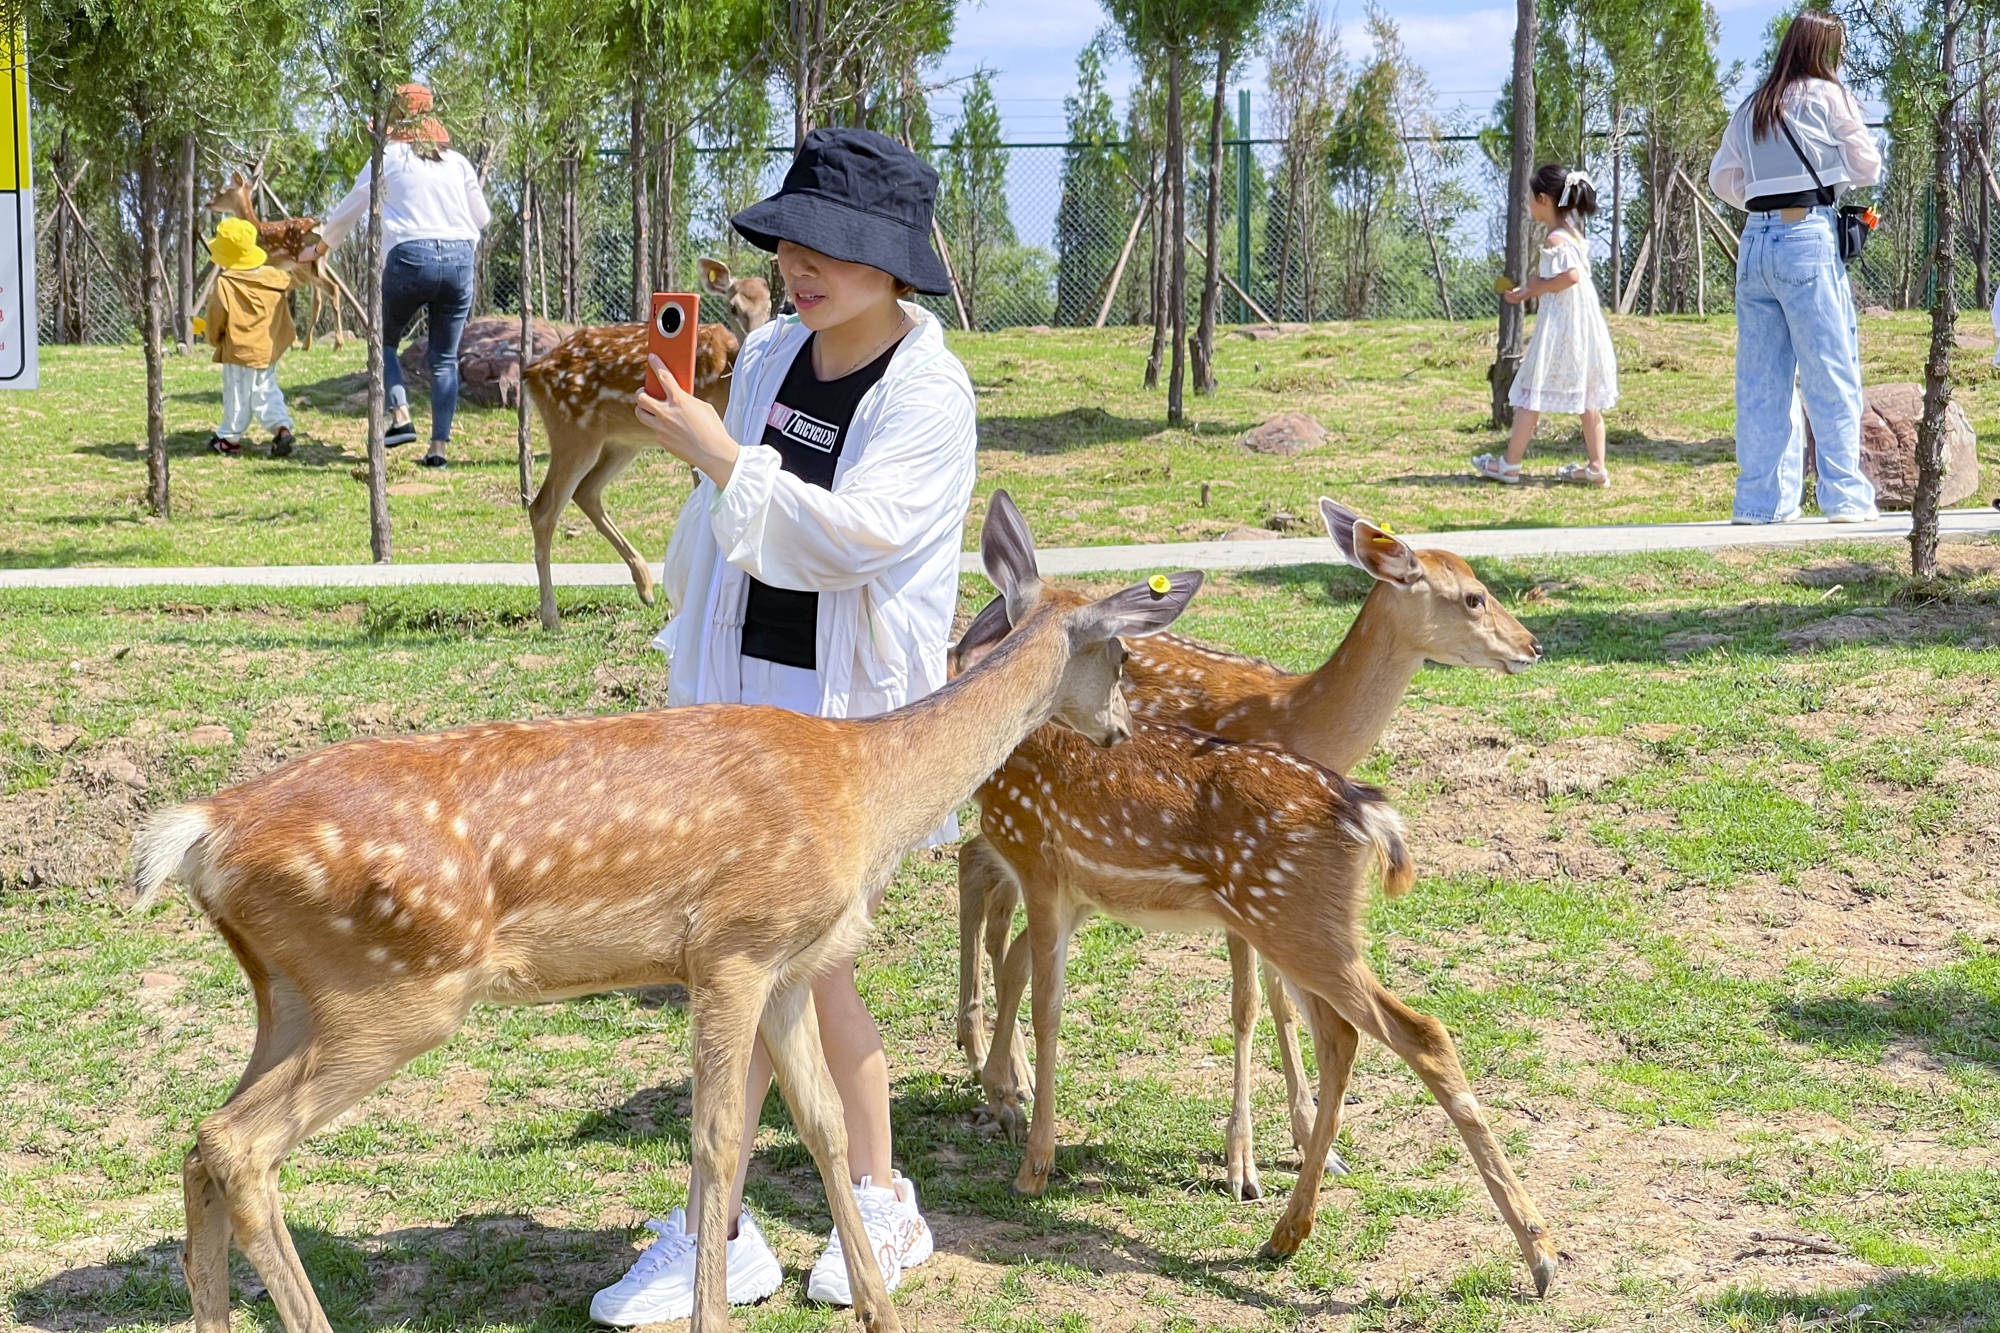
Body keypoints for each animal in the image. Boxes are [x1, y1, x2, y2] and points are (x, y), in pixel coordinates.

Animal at [133, 492, 1208, 1328]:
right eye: (1122, 657)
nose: (1120, 729)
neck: (861, 791)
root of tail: (202, 832)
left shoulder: (788, 965)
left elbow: (822, 1121)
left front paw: (881, 1309)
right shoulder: (731, 946)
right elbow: (719, 1138)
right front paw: (714, 1314)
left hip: (288, 993)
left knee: (199, 1142)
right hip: (391, 988)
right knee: (239, 1144)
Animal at [203, 169, 348, 350]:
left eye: (222, 192)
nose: (208, 204)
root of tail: (318, 226)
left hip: (304, 264)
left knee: (331, 288)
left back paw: (336, 343)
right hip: (317, 263)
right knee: (322, 296)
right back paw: (307, 344)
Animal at [524, 260, 772, 632]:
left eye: (772, 305)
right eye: (732, 307)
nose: (757, 336)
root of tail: (531, 373)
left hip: (621, 442)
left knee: (586, 492)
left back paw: (646, 588)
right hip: (571, 430)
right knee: (543, 508)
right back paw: (551, 618)